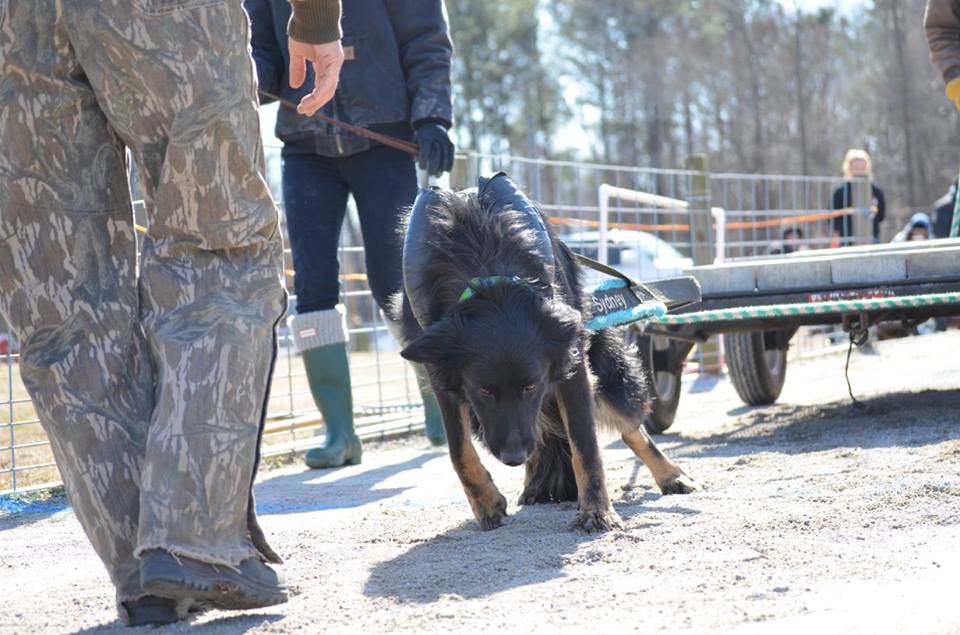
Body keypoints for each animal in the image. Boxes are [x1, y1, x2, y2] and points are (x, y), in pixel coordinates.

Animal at [394, 173, 692, 532]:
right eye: (484, 390)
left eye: (531, 386)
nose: (513, 458)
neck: (489, 281)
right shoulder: (441, 370)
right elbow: (458, 449)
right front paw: (486, 503)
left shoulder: (571, 362)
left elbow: (585, 445)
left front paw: (596, 511)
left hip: (606, 374)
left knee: (632, 427)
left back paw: (670, 474)